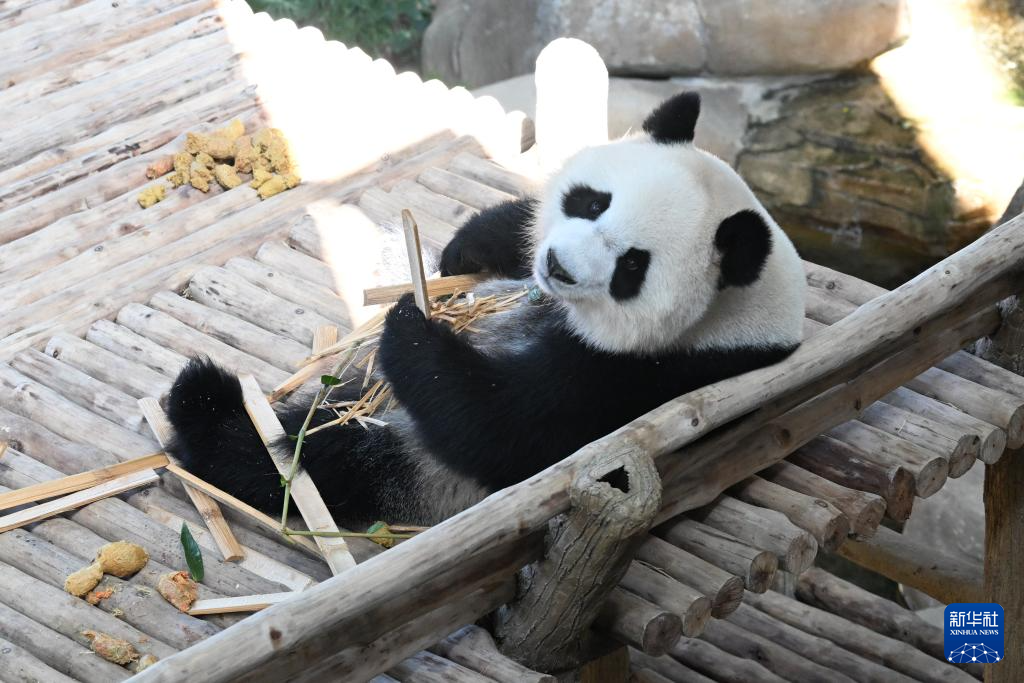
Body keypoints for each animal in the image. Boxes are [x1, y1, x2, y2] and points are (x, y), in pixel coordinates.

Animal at [165, 92, 806, 527]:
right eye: (591, 202)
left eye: (632, 266)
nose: (557, 267)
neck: (736, 320)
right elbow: (507, 227)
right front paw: (464, 250)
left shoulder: (645, 378)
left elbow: (504, 426)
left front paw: (410, 327)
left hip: (416, 467)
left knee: (325, 461)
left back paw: (208, 417)